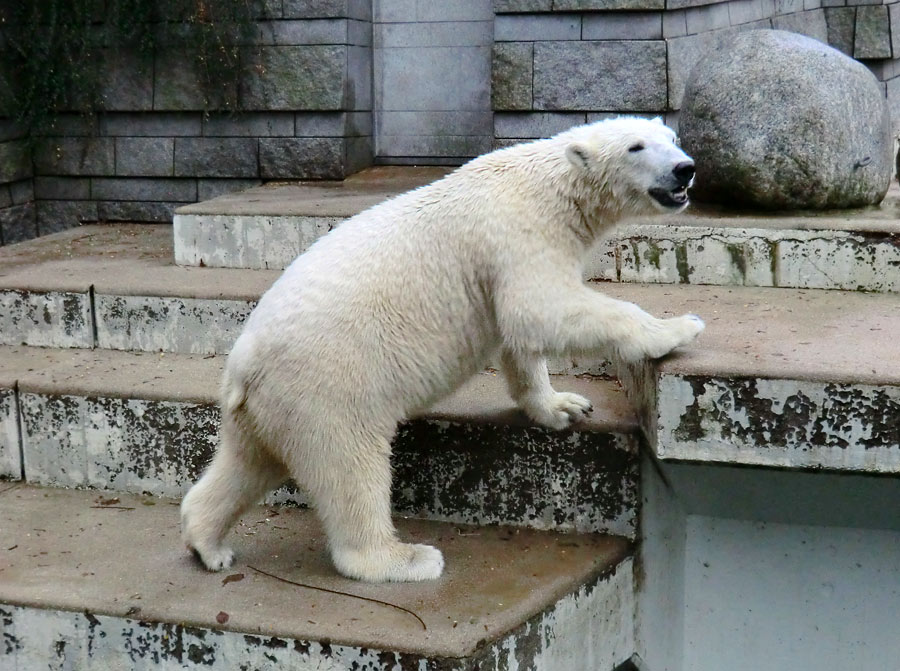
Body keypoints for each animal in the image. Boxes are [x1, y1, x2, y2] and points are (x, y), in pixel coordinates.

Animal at [181, 114, 704, 584]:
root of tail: (241, 366)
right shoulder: (519, 234)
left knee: (247, 463)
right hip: (327, 386)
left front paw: (563, 405)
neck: (552, 187)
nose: (685, 169)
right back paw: (404, 559)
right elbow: (539, 309)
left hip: (267, 405)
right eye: (636, 146)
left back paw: (209, 543)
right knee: (350, 468)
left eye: (671, 136)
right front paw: (677, 328)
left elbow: (519, 337)